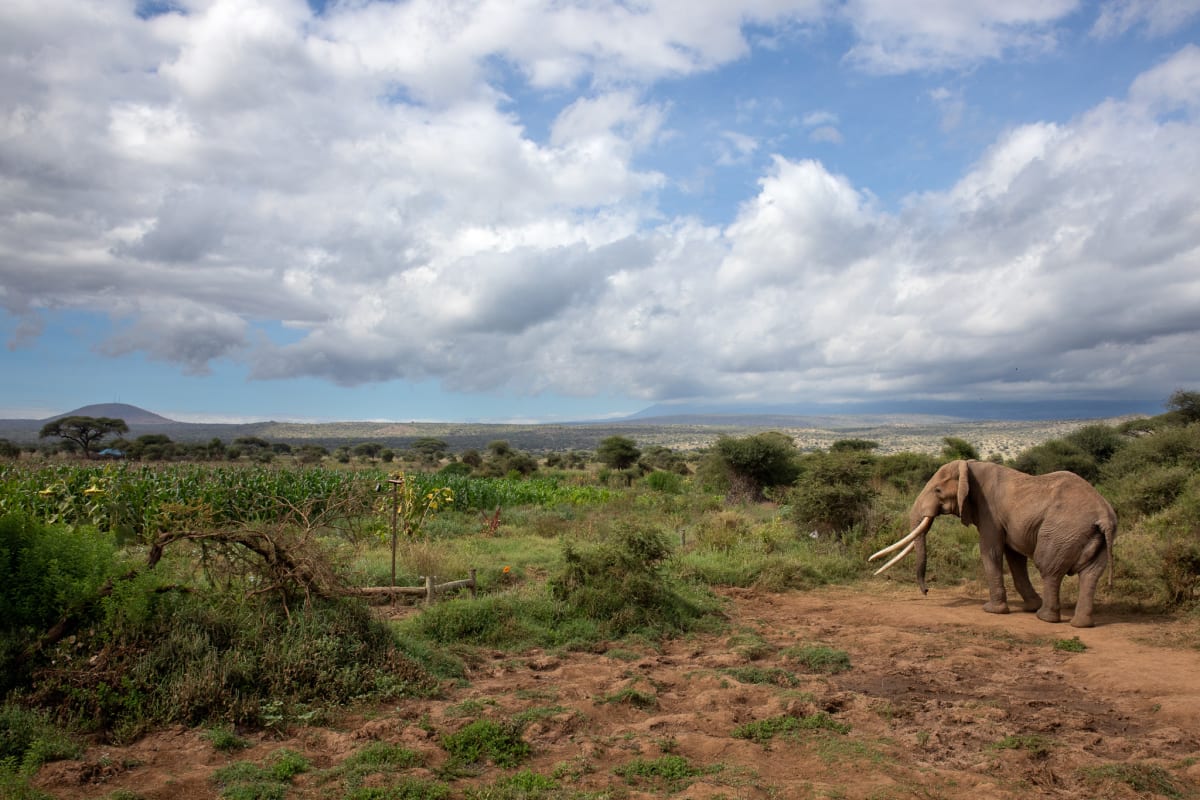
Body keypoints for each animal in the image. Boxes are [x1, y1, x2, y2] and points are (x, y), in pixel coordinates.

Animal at [869, 459, 1116, 628]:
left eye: (937, 490)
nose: (927, 591)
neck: (969, 467)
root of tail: (1103, 516)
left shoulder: (989, 512)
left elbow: (991, 551)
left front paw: (991, 610)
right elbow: (1014, 557)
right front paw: (1029, 606)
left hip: (1061, 533)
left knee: (1049, 569)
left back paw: (1045, 618)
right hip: (1092, 539)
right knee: (1091, 575)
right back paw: (1080, 624)